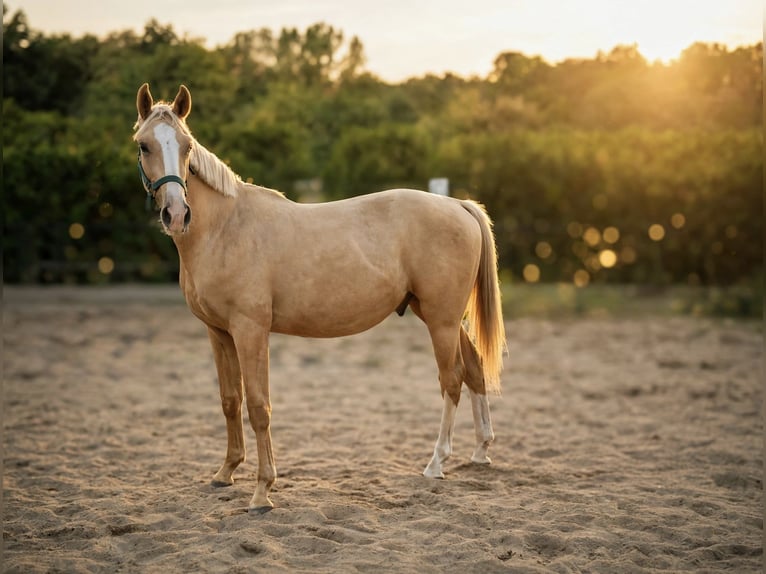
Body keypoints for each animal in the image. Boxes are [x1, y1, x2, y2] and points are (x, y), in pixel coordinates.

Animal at [133, 83, 507, 513]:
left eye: (187, 145)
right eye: (144, 145)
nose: (177, 214)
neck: (225, 228)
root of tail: (458, 204)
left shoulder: (250, 330)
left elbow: (258, 406)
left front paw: (262, 491)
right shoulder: (218, 332)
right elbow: (230, 400)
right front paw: (225, 473)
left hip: (441, 320)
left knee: (452, 379)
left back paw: (436, 463)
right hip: (440, 315)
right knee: (474, 369)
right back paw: (480, 452)